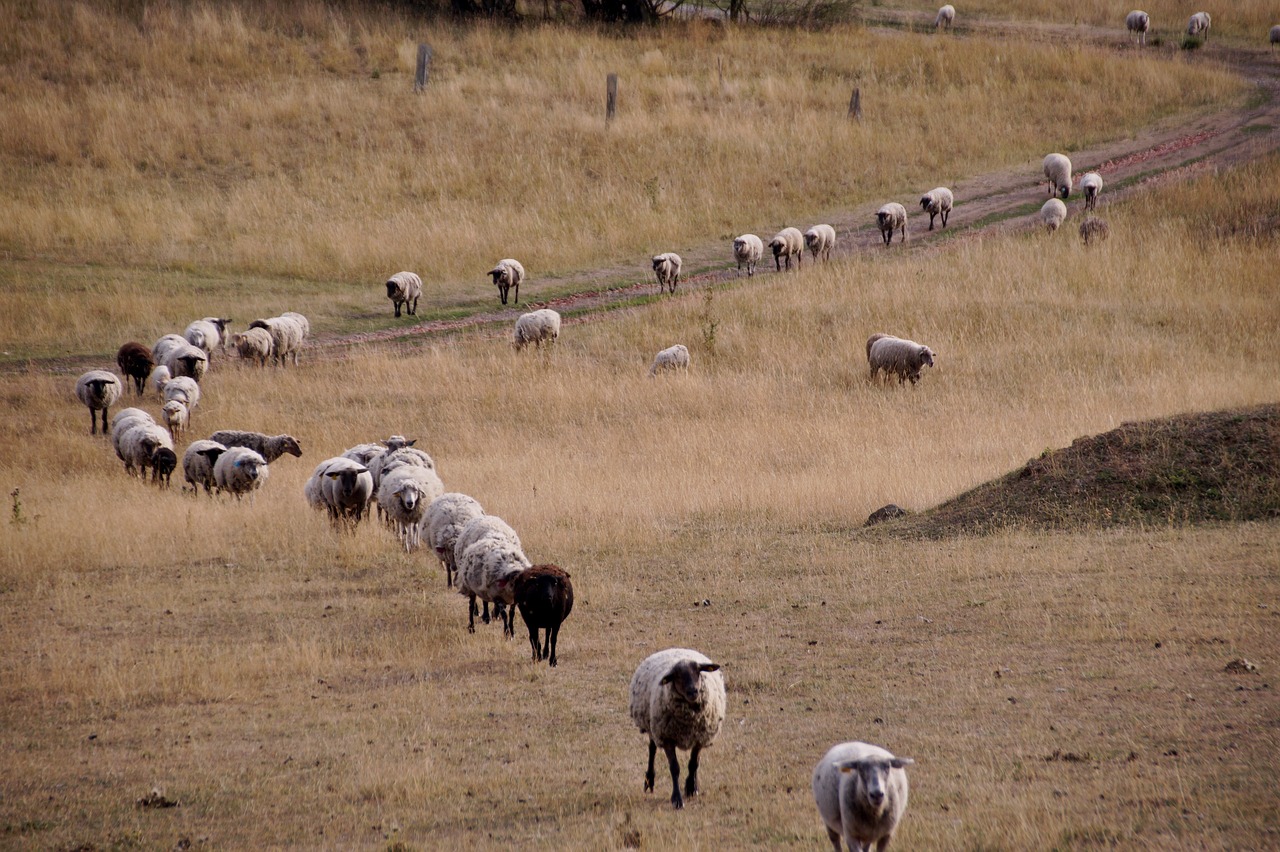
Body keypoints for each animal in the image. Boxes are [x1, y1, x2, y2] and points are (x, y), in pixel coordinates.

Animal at [627, 647, 727, 808]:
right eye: (677, 676)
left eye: (698, 671)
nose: (693, 691)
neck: (690, 718)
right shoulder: (667, 738)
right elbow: (674, 768)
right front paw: (677, 799)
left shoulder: (700, 736)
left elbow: (694, 764)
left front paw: (691, 788)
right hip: (653, 727)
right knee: (652, 748)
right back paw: (649, 780)